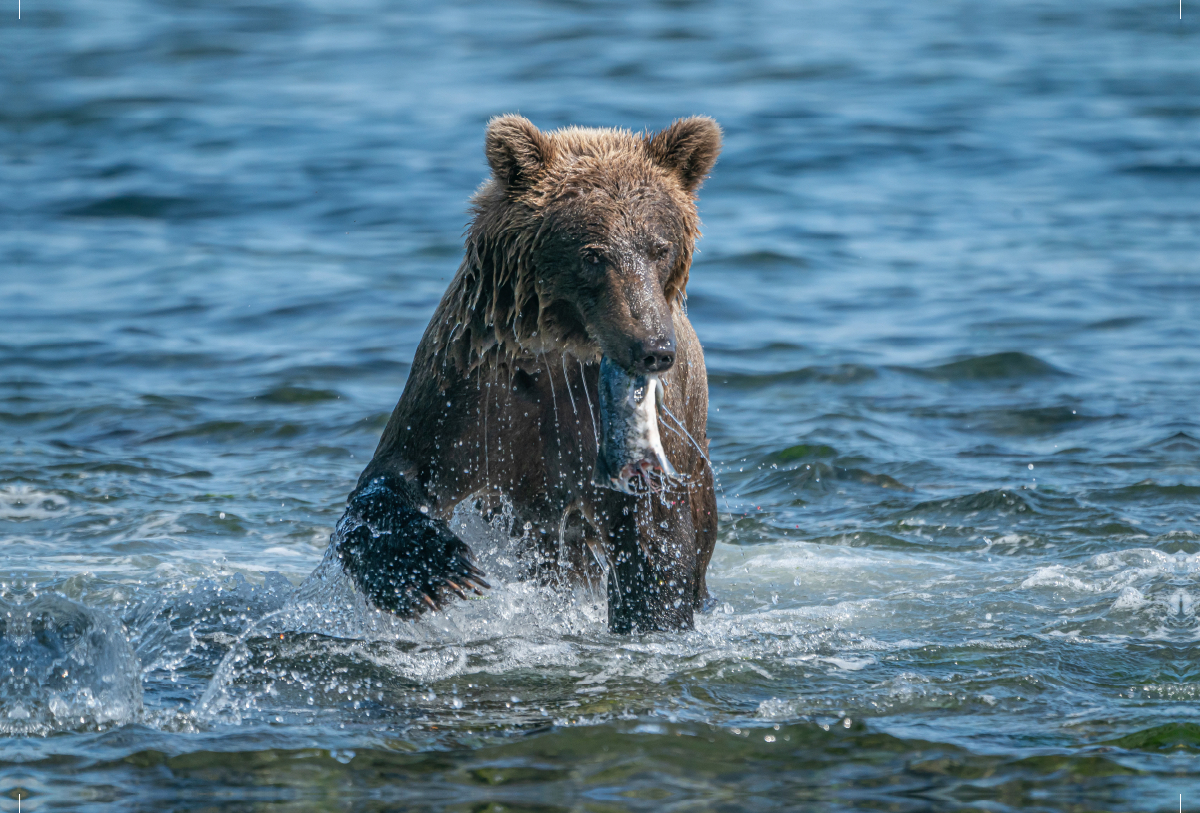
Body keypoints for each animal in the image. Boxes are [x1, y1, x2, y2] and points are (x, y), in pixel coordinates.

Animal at [331, 114, 720, 637]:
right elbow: (400, 470)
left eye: (659, 247)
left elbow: (654, 542)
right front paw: (435, 571)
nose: (653, 349)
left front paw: (649, 616)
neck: (553, 356)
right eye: (593, 255)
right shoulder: (467, 392)